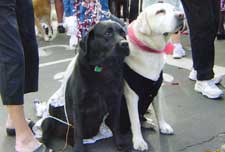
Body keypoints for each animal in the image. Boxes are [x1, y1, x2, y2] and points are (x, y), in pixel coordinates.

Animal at [40, 20, 128, 152]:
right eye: (107, 33)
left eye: (123, 33)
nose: (125, 44)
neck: (103, 70)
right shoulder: (78, 106)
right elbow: (79, 131)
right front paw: (79, 148)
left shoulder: (116, 101)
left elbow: (116, 124)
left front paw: (119, 142)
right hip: (49, 118)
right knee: (45, 134)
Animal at [123, 2, 185, 151]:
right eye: (160, 12)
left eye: (174, 10)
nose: (182, 15)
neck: (150, 50)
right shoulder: (131, 95)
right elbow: (134, 120)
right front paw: (138, 141)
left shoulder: (156, 89)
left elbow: (160, 111)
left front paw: (163, 126)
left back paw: (147, 122)